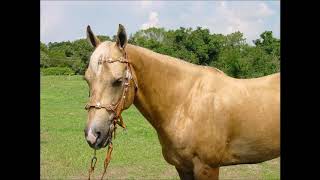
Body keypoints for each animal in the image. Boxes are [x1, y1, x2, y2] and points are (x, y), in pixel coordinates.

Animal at [83, 24, 280, 180]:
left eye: (117, 81)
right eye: (87, 79)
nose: (93, 134)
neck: (185, 103)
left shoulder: (207, 168)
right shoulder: (183, 167)